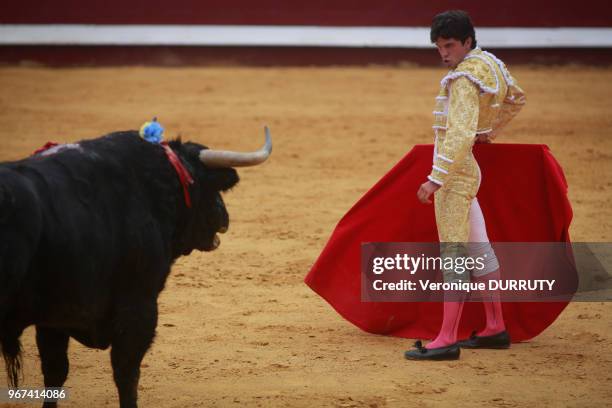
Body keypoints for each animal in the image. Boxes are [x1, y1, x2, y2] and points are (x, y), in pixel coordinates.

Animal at [1, 132, 266, 406]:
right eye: (211, 186)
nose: (225, 216)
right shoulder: (139, 305)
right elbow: (127, 374)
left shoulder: (53, 318)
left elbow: (55, 371)